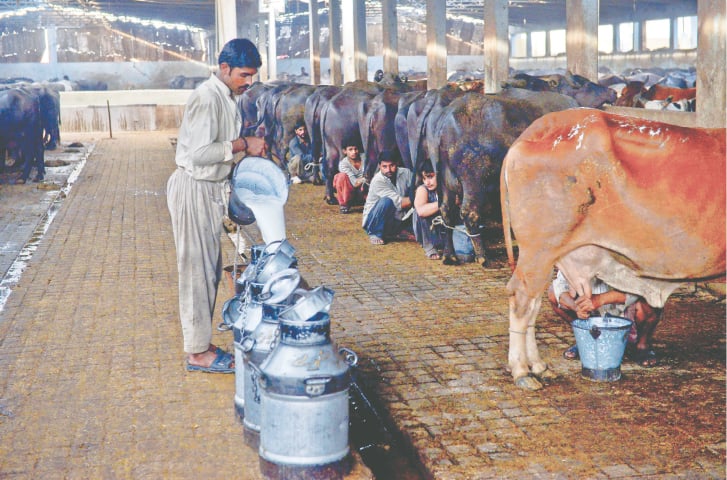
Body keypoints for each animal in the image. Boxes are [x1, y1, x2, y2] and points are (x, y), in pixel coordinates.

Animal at [504, 108, 724, 390]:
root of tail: (536, 130)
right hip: (538, 251)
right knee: (521, 300)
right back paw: (522, 371)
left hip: (547, 256)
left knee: (534, 303)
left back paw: (539, 367)